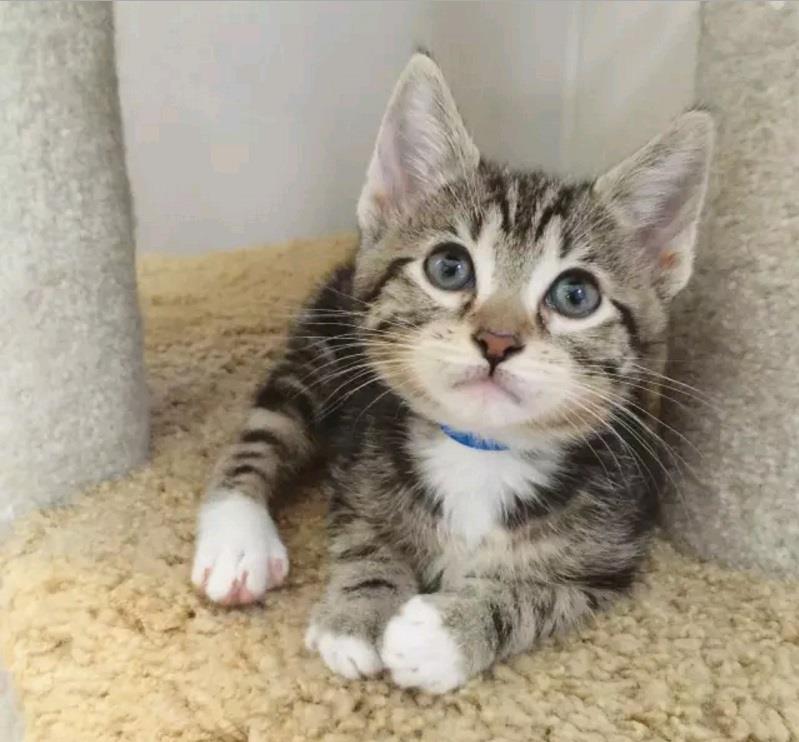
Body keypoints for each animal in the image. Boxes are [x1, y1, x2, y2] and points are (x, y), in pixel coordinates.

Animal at [191, 53, 713, 694]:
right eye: (449, 267)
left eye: (576, 295)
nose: (498, 340)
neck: (480, 451)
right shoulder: (357, 473)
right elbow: (364, 539)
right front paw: (359, 613)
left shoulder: (611, 557)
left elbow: (538, 598)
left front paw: (445, 633)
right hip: (326, 345)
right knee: (267, 427)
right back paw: (236, 538)